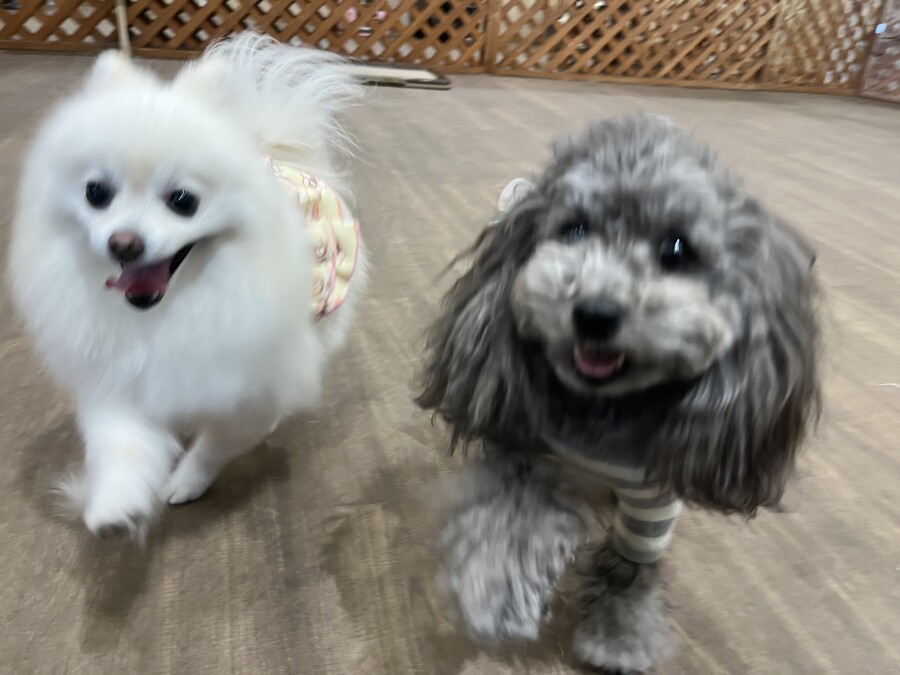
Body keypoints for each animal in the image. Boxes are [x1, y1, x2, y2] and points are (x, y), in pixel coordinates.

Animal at [8, 33, 366, 540]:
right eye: (96, 193)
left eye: (183, 200)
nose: (124, 243)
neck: (169, 311)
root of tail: (282, 155)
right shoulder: (116, 373)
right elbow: (119, 442)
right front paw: (115, 505)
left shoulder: (250, 390)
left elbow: (218, 443)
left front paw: (185, 482)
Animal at [416, 114, 820, 671]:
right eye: (575, 230)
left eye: (677, 250)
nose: (594, 313)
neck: (599, 415)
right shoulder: (522, 447)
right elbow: (509, 518)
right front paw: (494, 595)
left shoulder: (654, 502)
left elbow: (633, 567)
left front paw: (620, 635)